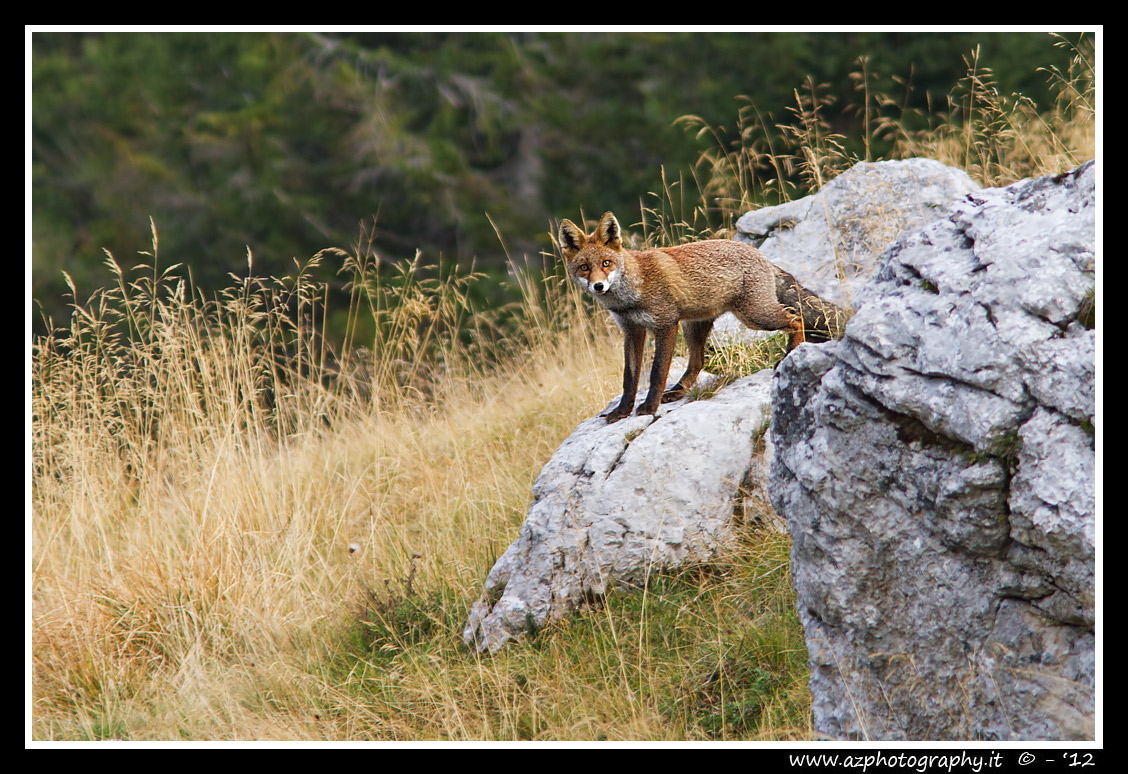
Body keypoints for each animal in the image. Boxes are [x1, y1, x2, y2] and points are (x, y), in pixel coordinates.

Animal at [558, 211, 843, 423]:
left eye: (606, 263)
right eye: (585, 267)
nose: (598, 286)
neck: (630, 296)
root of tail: (761, 255)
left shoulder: (666, 324)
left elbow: (657, 372)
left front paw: (649, 407)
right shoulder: (632, 332)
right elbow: (630, 378)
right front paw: (622, 411)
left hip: (754, 315)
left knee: (796, 319)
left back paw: (790, 355)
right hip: (695, 327)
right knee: (697, 362)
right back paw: (677, 391)